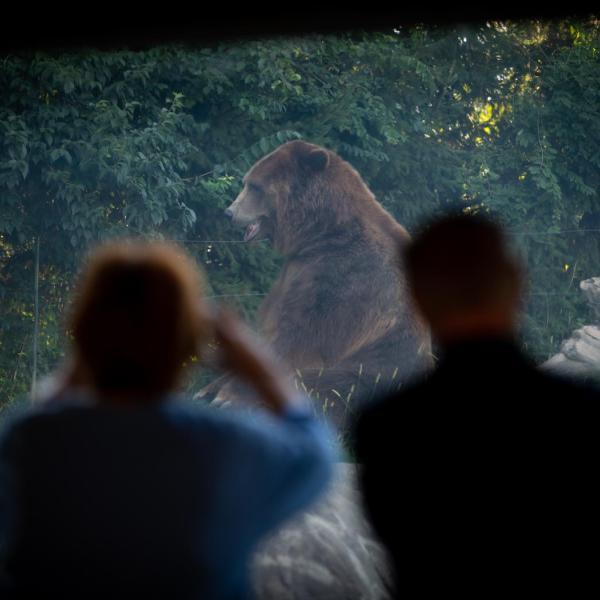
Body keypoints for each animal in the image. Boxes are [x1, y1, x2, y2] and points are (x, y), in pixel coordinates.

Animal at [209, 141, 428, 432]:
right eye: (247, 182)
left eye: (255, 186)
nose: (229, 212)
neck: (319, 232)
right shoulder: (297, 270)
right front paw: (211, 388)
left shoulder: (343, 279)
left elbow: (297, 338)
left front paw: (227, 396)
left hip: (379, 371)